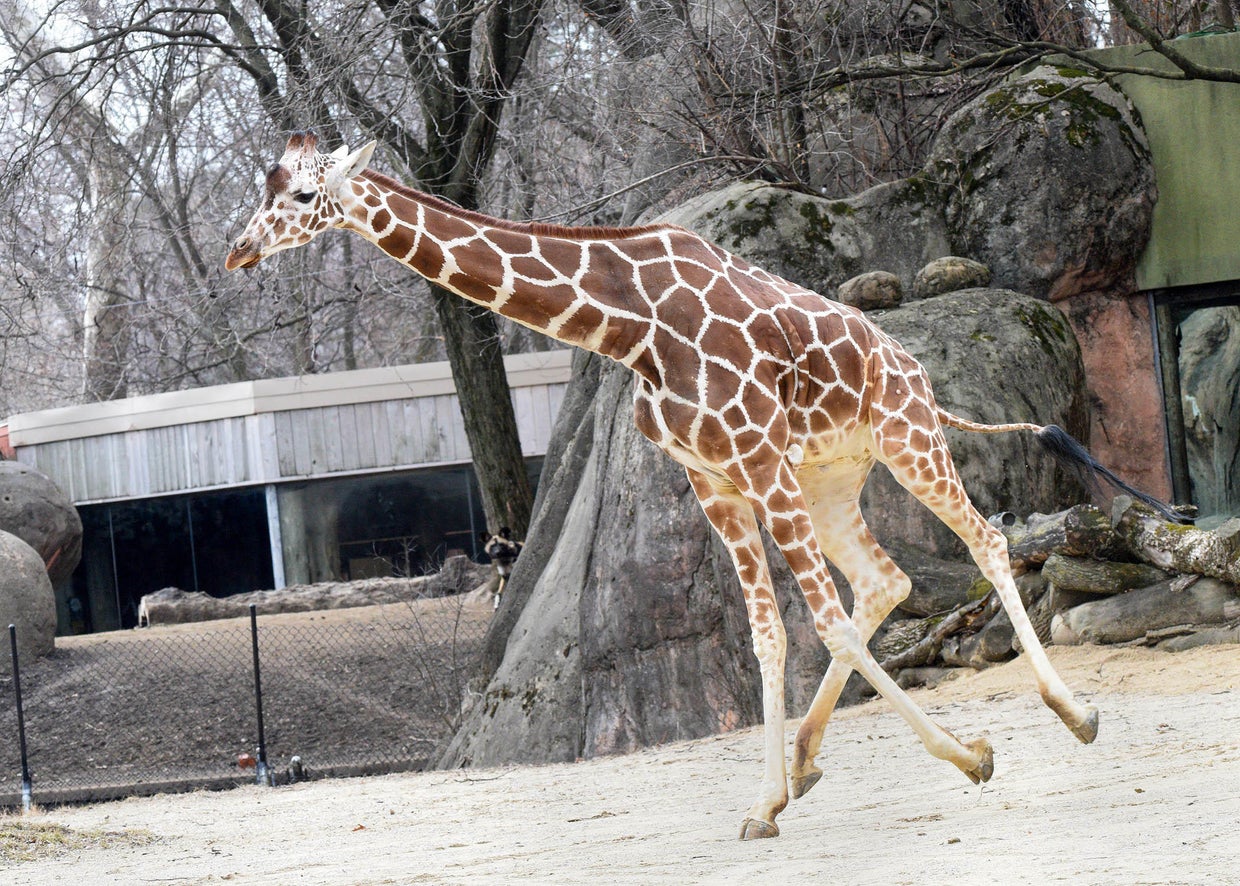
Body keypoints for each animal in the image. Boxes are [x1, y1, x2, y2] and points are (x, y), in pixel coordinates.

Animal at [227, 131, 1165, 839]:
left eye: (304, 195)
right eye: (264, 186)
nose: (238, 250)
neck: (629, 326)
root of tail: (914, 366)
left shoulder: (756, 460)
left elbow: (821, 624)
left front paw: (969, 755)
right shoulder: (714, 480)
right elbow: (769, 635)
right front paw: (765, 803)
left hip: (905, 439)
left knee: (984, 540)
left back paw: (1075, 713)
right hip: (832, 476)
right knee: (888, 580)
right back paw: (807, 761)